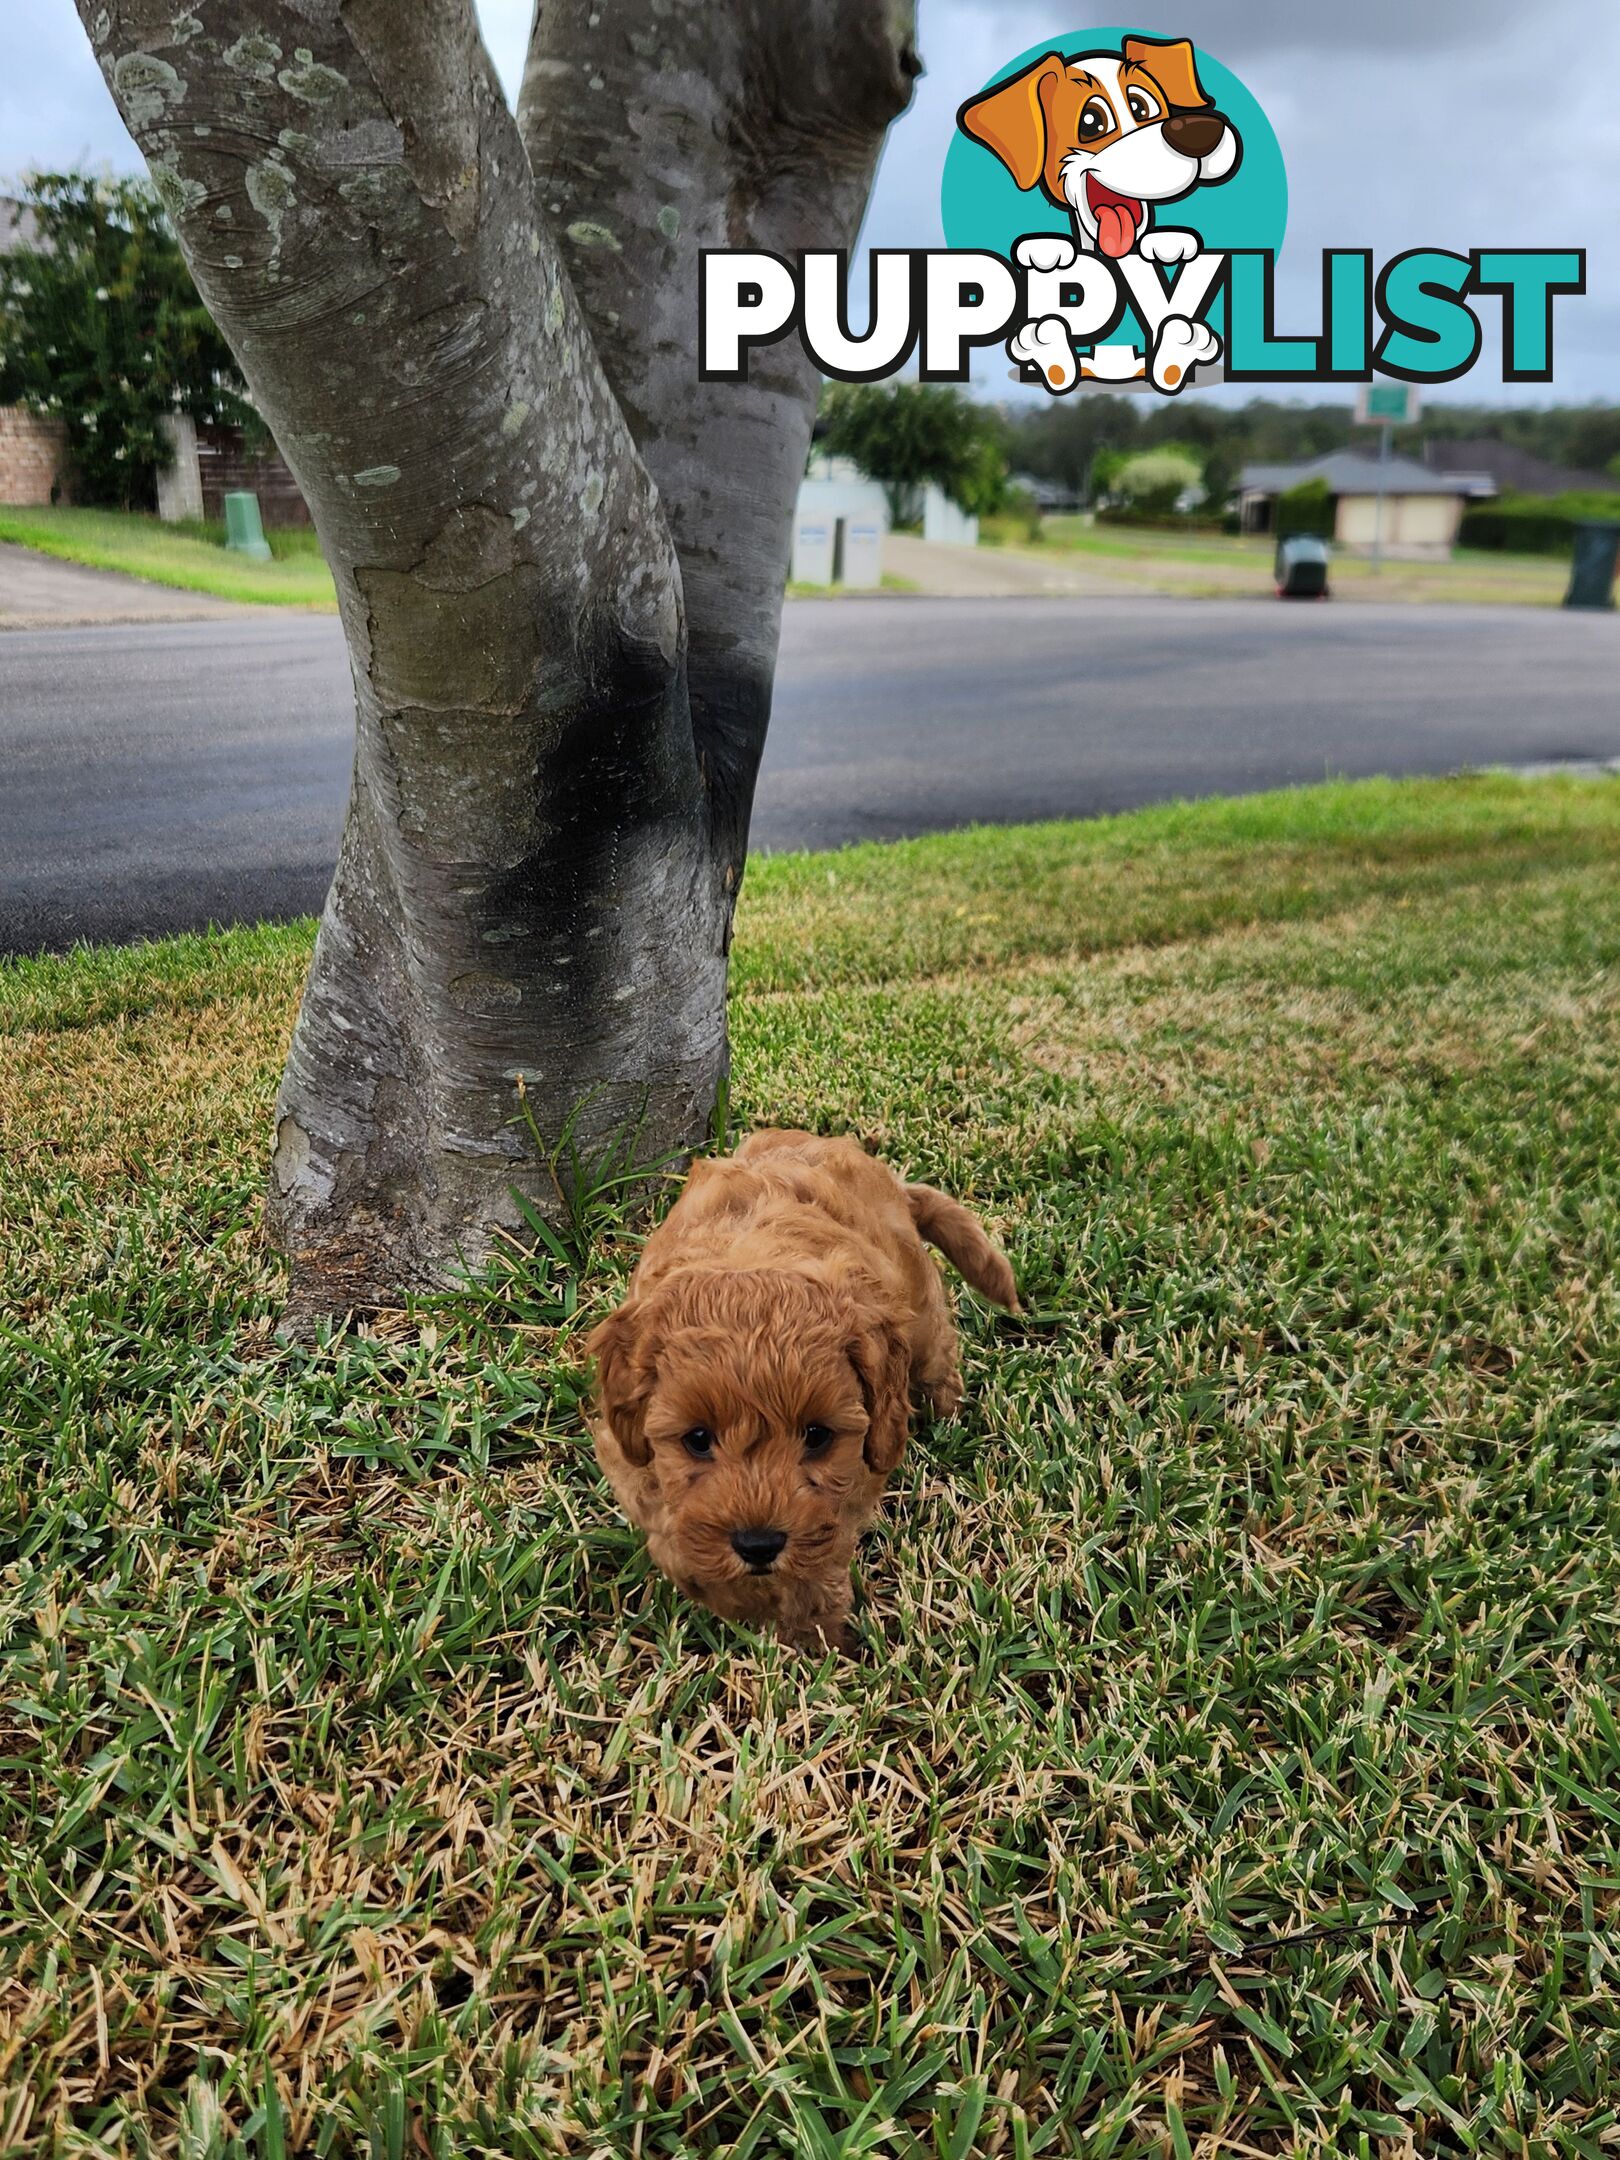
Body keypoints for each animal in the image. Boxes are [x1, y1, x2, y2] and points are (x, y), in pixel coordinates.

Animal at [587, 1131, 1015, 1650]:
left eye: (817, 1436)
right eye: (697, 1439)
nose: (758, 1544)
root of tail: (893, 1183)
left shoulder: (849, 1485)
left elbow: (817, 1560)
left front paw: (821, 1639)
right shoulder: (626, 1450)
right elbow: (672, 1534)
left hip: (922, 1317)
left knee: (937, 1357)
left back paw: (947, 1409)